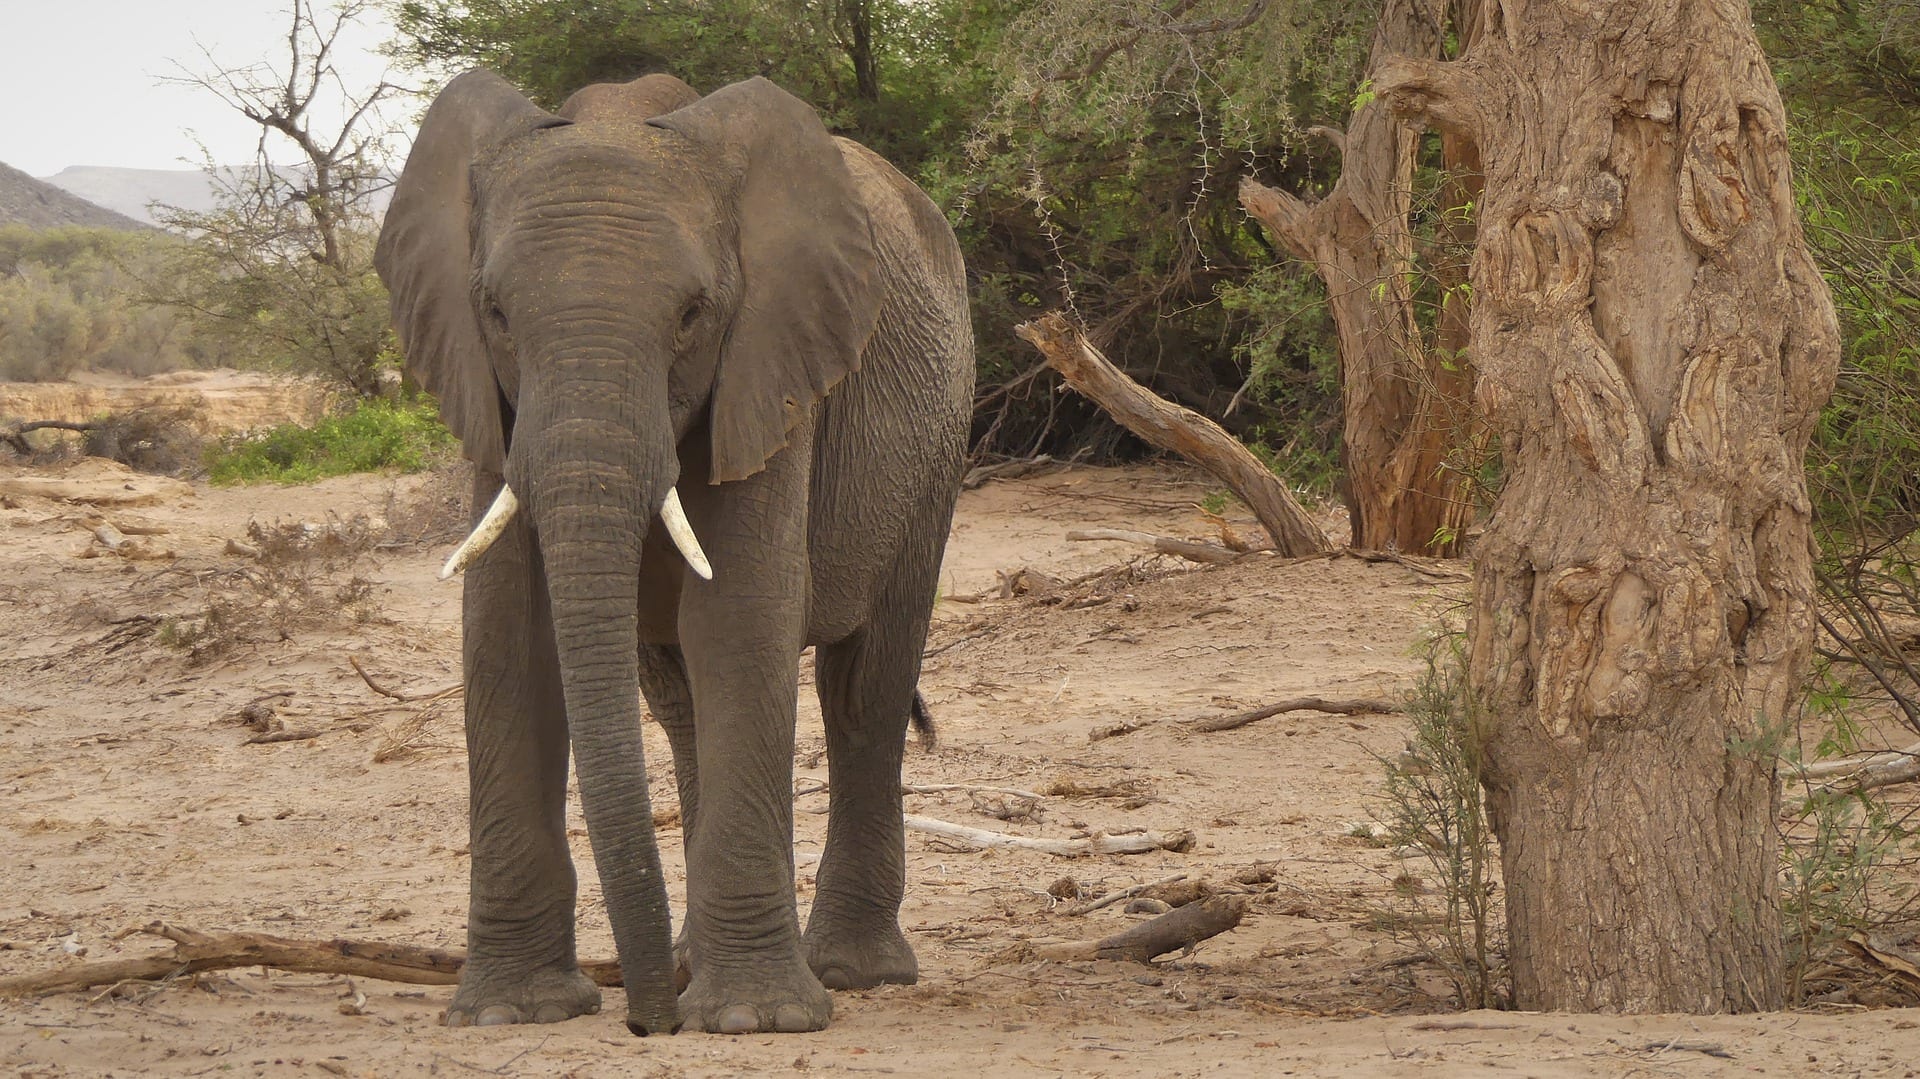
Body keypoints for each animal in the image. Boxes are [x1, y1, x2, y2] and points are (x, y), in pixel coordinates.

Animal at [370, 69, 975, 1036]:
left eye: (693, 315)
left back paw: (850, 973)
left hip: (938, 444)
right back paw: (695, 961)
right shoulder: (490, 399)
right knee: (680, 701)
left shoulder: (771, 365)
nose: (644, 1021)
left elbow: (739, 616)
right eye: (495, 311)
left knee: (864, 689)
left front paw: (756, 1022)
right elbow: (505, 631)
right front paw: (511, 1012)